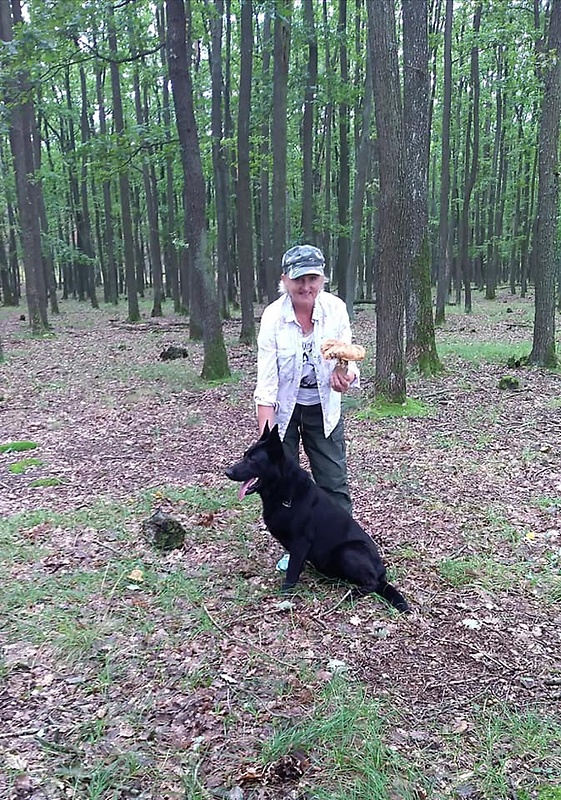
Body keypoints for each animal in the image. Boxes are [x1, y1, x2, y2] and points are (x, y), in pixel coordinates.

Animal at [225, 424, 410, 612]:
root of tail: (381, 573)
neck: (285, 492)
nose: (227, 471)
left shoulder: (301, 540)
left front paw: (285, 593)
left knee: (372, 584)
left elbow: (292, 571)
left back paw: (351, 594)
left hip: (348, 551)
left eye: (252, 460)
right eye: (245, 455)